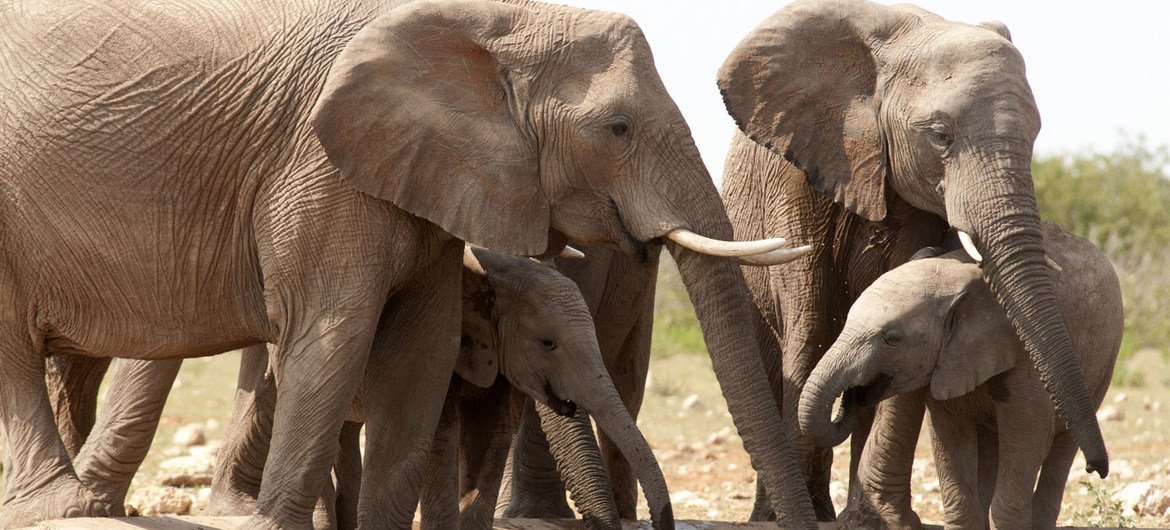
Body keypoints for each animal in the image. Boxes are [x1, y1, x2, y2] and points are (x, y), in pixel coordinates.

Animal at [0, 0, 819, 524]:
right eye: (617, 128)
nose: (651, 519)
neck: (489, 22)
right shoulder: (319, 170)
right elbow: (332, 336)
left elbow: (420, 354)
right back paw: (63, 508)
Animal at [800, 221, 1118, 526]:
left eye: (892, 339)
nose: (1097, 469)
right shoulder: (947, 363)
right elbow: (949, 436)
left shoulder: (1027, 354)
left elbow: (1028, 433)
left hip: (1103, 365)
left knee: (1061, 450)